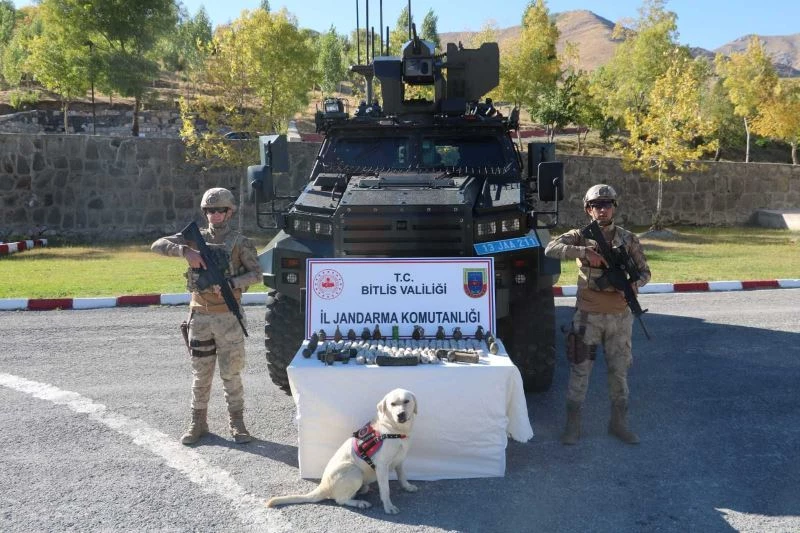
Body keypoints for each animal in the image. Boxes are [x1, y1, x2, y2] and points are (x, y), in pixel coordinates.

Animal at [267, 388, 418, 514]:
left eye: (406, 401)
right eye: (392, 404)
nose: (400, 414)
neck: (394, 430)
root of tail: (323, 485)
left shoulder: (400, 460)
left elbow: (402, 476)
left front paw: (407, 486)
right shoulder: (381, 466)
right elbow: (385, 489)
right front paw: (388, 506)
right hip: (354, 471)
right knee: (340, 500)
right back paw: (359, 502)